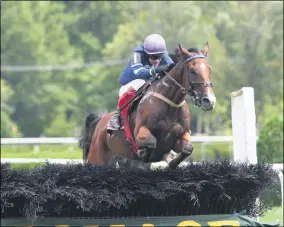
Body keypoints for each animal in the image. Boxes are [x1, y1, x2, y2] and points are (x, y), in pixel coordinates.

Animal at [79, 43, 216, 170]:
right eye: (192, 70)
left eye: (209, 70)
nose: (209, 100)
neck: (170, 104)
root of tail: (100, 121)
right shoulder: (140, 131)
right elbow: (151, 142)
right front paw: (148, 153)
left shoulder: (183, 135)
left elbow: (188, 148)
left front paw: (171, 162)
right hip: (97, 158)